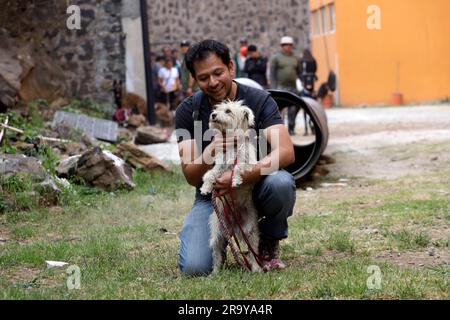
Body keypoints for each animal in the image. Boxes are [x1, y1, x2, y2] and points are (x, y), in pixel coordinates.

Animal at [200, 99, 260, 272]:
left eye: (228, 111)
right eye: (216, 108)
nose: (213, 115)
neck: (232, 144)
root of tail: (233, 224)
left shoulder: (250, 164)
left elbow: (239, 167)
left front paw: (235, 180)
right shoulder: (219, 167)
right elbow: (209, 174)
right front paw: (205, 188)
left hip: (250, 232)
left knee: (253, 252)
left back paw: (257, 269)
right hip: (218, 232)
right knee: (217, 252)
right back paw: (215, 272)